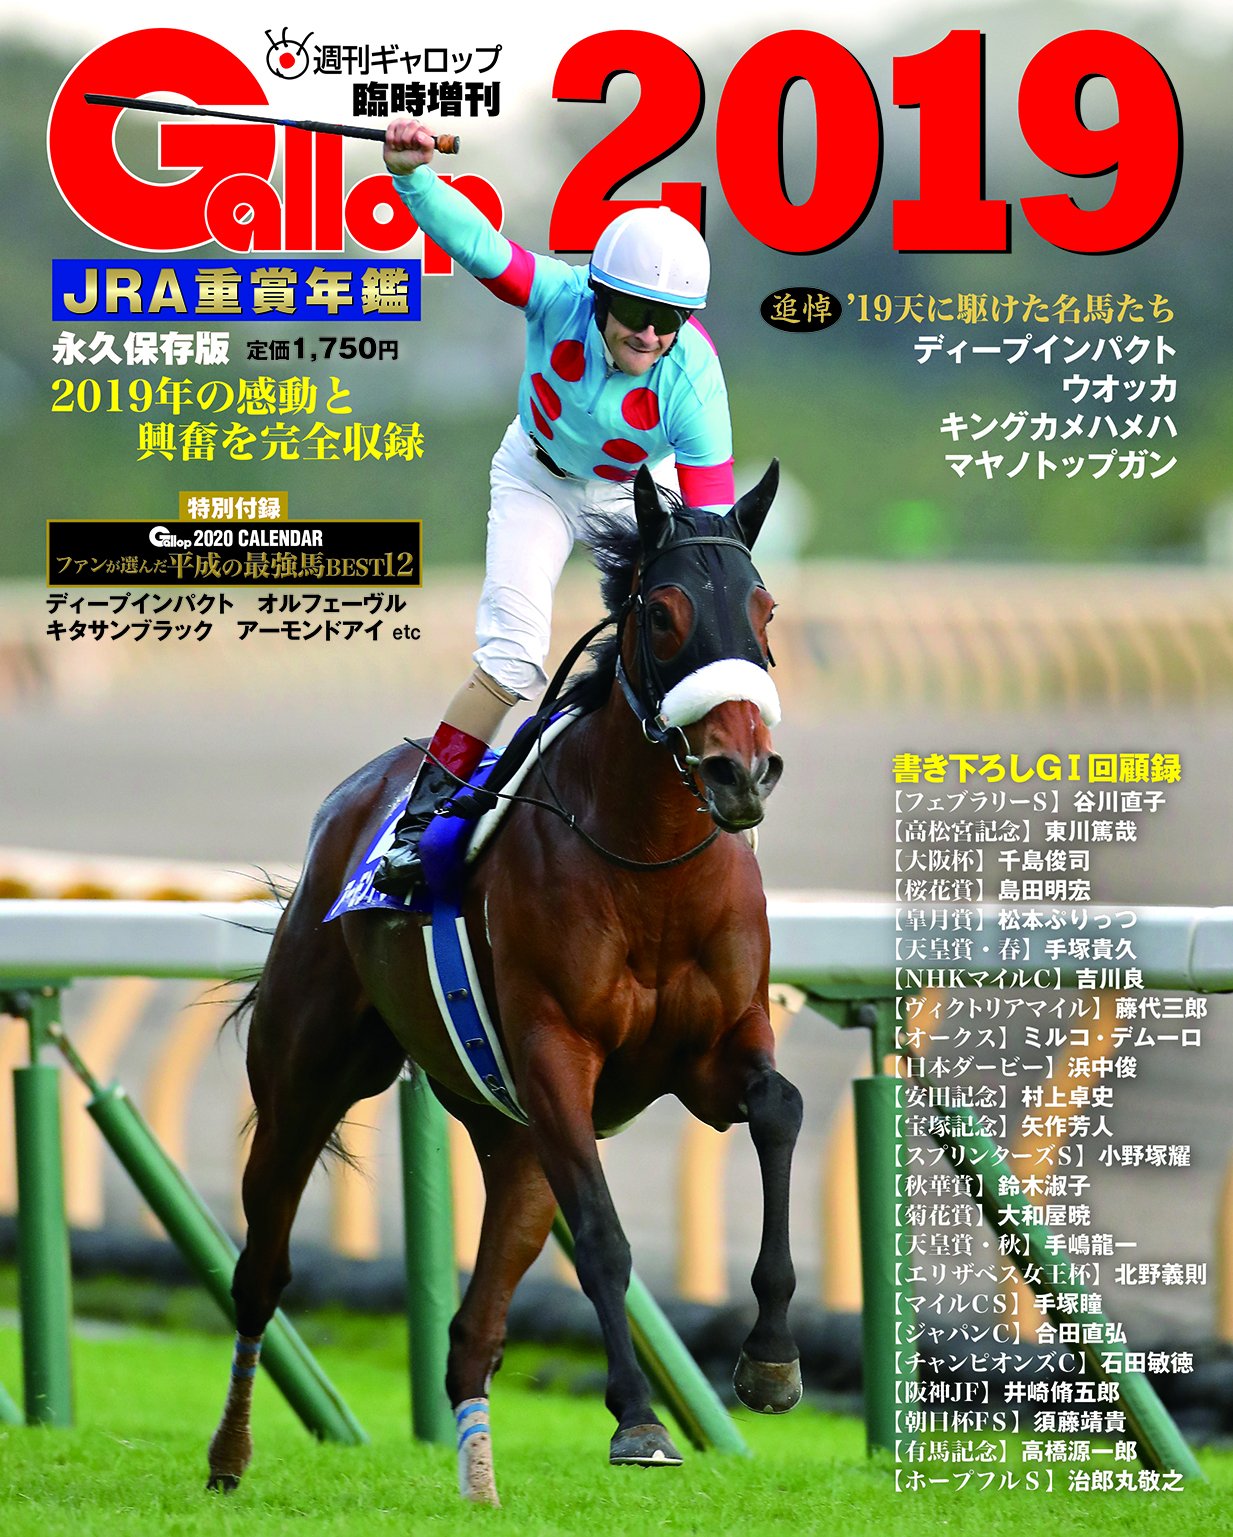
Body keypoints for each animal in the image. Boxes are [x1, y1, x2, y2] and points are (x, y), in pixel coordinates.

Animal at [206, 462, 803, 1506]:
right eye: (663, 615)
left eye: (764, 609)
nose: (740, 771)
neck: (649, 866)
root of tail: (358, 795)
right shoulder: (554, 1052)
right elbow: (602, 1236)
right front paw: (639, 1420)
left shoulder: (713, 1050)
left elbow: (779, 1108)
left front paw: (769, 1357)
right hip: (305, 1082)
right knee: (262, 1273)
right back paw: (229, 1453)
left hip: (513, 1140)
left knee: (471, 1333)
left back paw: (479, 1489)